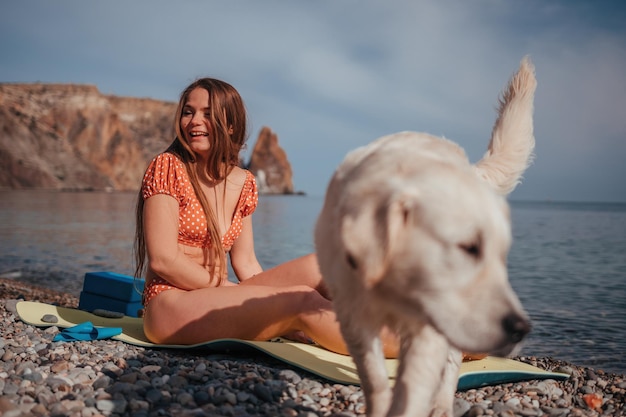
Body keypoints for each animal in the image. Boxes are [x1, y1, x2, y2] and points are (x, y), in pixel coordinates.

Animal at [314, 57, 532, 416]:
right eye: (469, 247)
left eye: (501, 256)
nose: (521, 329)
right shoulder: (353, 316)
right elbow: (375, 380)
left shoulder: (429, 330)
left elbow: (412, 388)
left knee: (451, 366)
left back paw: (442, 405)